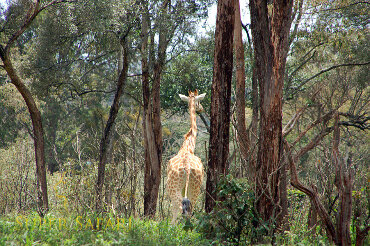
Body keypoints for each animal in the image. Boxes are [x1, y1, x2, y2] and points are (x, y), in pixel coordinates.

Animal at [167, 90, 207, 223]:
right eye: (199, 102)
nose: (202, 109)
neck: (188, 146)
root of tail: (188, 168)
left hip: (173, 187)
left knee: (178, 208)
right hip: (195, 187)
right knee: (189, 209)